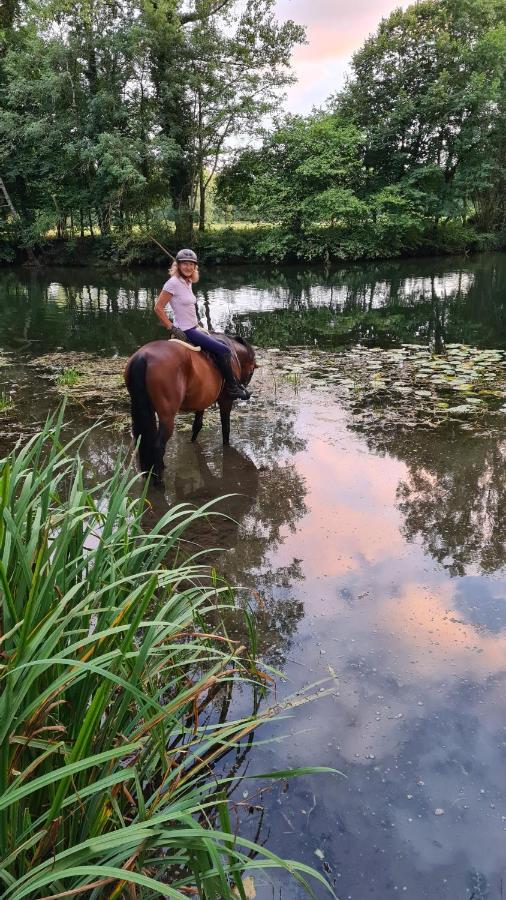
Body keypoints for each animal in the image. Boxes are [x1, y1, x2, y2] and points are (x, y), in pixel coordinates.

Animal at [124, 334, 255, 478]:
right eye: (251, 372)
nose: (244, 390)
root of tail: (143, 356)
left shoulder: (203, 401)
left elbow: (197, 426)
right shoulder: (226, 401)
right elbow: (226, 428)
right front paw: (226, 446)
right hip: (167, 416)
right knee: (158, 446)